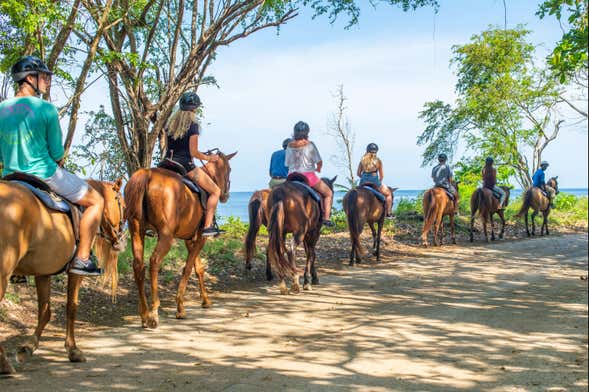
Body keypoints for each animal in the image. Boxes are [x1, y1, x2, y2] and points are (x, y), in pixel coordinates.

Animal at [0, 178, 124, 374]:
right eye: (123, 205)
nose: (120, 238)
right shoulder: (75, 273)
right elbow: (71, 307)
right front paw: (73, 350)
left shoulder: (43, 273)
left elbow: (45, 312)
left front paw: (28, 348)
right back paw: (4, 363)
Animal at [123, 152, 234, 330]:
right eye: (229, 169)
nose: (224, 195)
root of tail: (147, 174)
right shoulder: (200, 238)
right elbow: (188, 268)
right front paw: (180, 307)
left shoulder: (189, 239)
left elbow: (198, 268)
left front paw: (205, 300)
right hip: (166, 236)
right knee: (154, 262)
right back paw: (154, 312)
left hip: (136, 231)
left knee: (138, 266)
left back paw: (144, 314)